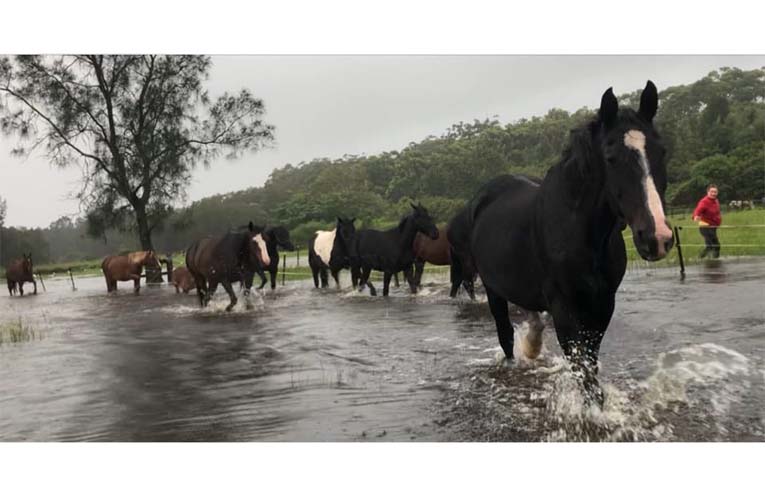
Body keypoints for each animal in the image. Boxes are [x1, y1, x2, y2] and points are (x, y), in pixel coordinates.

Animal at [467, 81, 673, 404]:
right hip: (493, 290)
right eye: (611, 157)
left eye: (661, 151)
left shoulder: (602, 303)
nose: (657, 238)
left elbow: (590, 361)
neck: (582, 234)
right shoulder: (564, 306)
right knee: (506, 336)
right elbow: (583, 369)